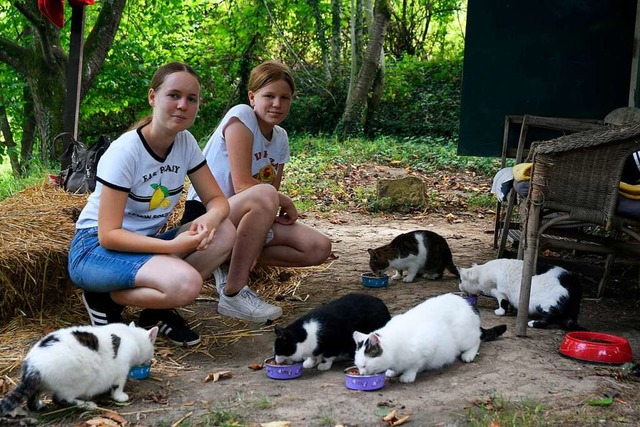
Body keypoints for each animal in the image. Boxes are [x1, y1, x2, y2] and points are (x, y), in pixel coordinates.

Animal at [0, 322, 159, 416]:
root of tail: (32, 367)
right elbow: (118, 386)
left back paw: (39, 406)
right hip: (77, 382)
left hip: (38, 387)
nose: (150, 359)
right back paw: (87, 405)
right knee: (60, 399)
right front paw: (120, 396)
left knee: (31, 401)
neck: (131, 335)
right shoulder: (121, 371)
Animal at [352, 294, 508, 384]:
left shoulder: (426, 348)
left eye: (364, 365)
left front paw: (407, 376)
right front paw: (393, 371)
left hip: (464, 337)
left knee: (477, 339)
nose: (361, 374)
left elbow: (414, 366)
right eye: (358, 366)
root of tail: (467, 304)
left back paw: (468, 355)